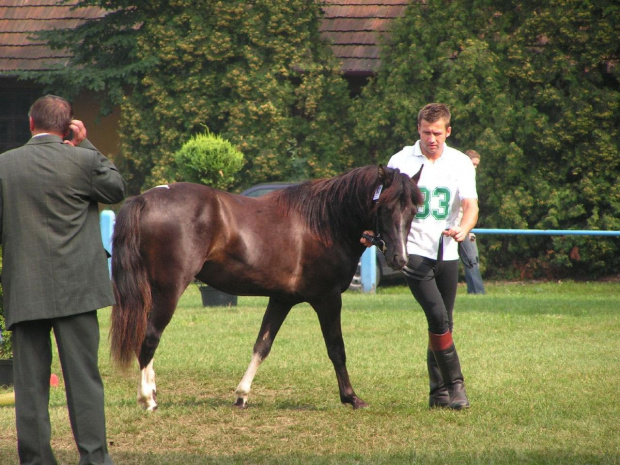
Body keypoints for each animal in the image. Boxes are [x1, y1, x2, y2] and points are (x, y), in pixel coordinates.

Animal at [110, 166, 422, 410]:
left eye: (413, 210)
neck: (324, 222)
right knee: (150, 337)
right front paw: (351, 397)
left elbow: (262, 345)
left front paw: (241, 395)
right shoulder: (328, 299)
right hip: (169, 289)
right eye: (385, 207)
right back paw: (147, 399)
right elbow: (337, 349)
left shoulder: (281, 299)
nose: (400, 259)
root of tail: (145, 199)